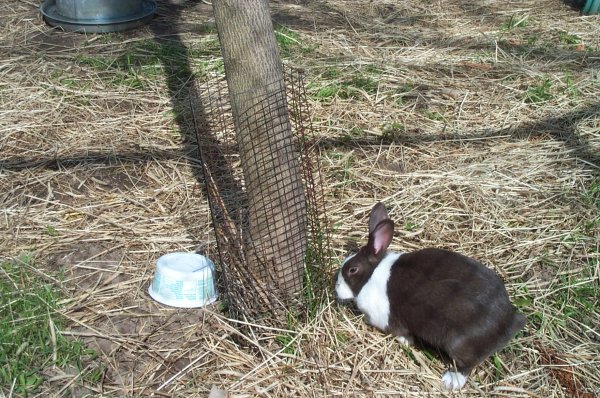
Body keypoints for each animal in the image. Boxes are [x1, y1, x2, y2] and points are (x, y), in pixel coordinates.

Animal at [336, 204, 528, 390]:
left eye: (352, 270)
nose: (336, 289)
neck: (371, 274)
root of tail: (510, 321)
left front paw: (406, 341)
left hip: (457, 344)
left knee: (466, 365)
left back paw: (450, 381)